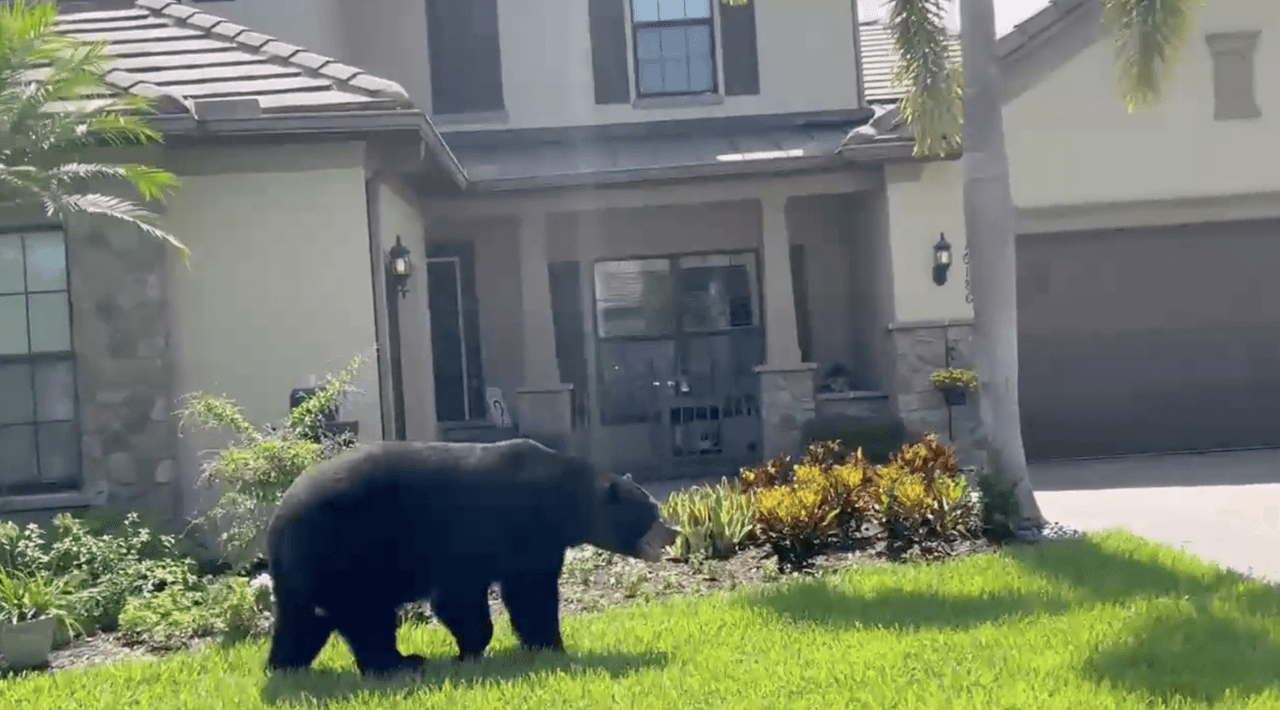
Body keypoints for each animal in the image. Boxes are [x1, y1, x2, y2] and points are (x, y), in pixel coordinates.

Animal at [263, 437, 681, 676]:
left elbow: (526, 591)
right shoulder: (490, 527)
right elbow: (474, 596)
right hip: (349, 549)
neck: (559, 501)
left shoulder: (531, 543)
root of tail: (279, 519)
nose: (674, 532)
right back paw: (400, 663)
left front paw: (545, 645)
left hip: (309, 569)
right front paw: (475, 651)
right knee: (366, 614)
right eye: (652, 510)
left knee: (304, 619)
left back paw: (285, 666)